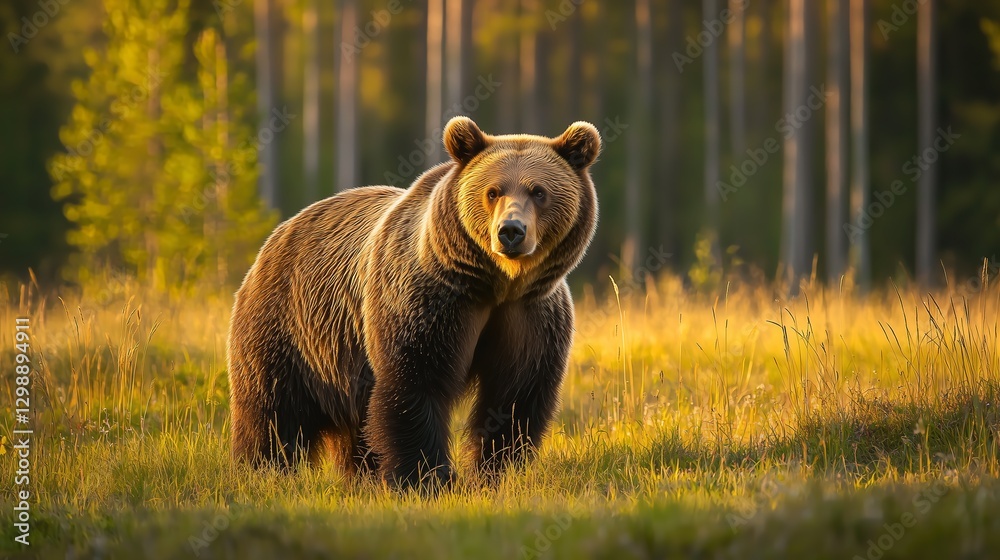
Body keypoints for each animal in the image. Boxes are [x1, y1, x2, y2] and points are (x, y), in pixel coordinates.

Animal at [227, 116, 601, 488]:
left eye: (538, 191)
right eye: (493, 191)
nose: (511, 231)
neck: (497, 284)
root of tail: (282, 230)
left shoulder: (530, 315)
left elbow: (514, 396)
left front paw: (495, 472)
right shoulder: (430, 298)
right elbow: (415, 380)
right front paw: (426, 477)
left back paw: (360, 475)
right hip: (289, 324)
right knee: (271, 404)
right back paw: (264, 468)